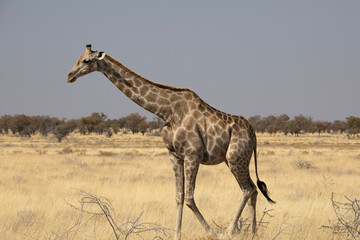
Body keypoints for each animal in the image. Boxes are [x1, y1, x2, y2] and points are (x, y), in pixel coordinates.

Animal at [67, 44, 274, 239]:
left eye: (86, 60)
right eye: (77, 58)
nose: (70, 76)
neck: (166, 111)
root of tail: (253, 134)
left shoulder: (192, 154)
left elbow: (189, 198)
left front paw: (212, 233)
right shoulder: (174, 155)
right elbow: (179, 197)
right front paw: (176, 235)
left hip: (235, 158)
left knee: (247, 189)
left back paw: (229, 232)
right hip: (237, 160)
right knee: (253, 189)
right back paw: (254, 233)